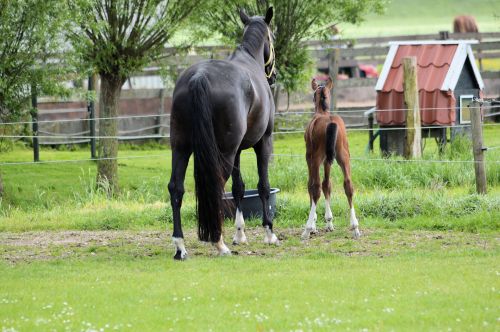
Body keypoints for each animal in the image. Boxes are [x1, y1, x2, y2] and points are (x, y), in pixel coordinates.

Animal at [168, 6, 278, 258]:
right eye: (273, 37)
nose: (274, 75)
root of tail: (199, 77)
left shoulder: (237, 151)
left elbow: (239, 188)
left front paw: (240, 234)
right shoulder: (263, 142)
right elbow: (263, 186)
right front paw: (269, 232)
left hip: (181, 147)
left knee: (176, 188)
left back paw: (180, 246)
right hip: (223, 153)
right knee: (216, 186)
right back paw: (219, 242)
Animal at [300, 78, 360, 239]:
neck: (322, 112)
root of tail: (331, 121)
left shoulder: (310, 158)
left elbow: (312, 185)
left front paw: (314, 225)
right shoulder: (328, 161)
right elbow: (327, 184)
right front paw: (329, 222)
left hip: (315, 159)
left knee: (315, 188)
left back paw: (307, 230)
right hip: (343, 157)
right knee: (348, 185)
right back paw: (355, 227)